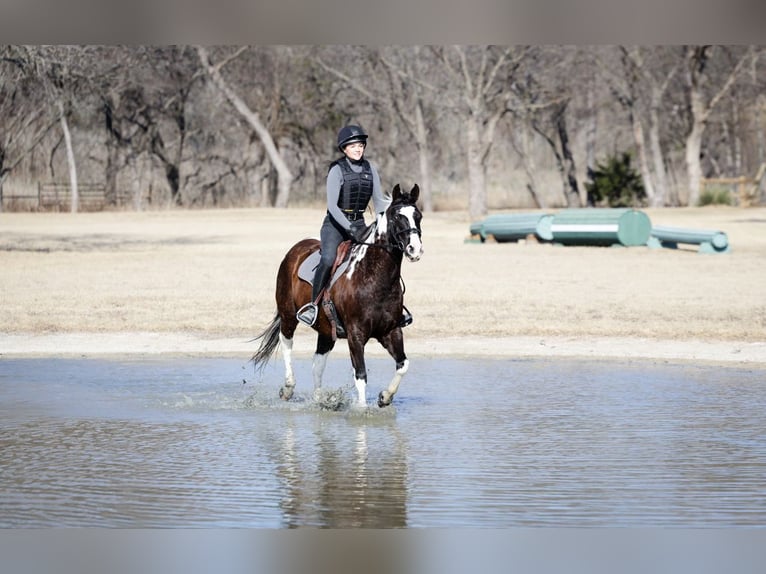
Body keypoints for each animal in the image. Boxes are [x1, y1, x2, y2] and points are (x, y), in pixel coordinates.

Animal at [251, 183, 423, 408]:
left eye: (418, 216)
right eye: (396, 217)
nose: (415, 249)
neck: (374, 277)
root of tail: (295, 250)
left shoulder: (391, 331)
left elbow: (403, 365)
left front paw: (385, 397)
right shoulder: (355, 334)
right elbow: (360, 375)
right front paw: (363, 410)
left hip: (326, 329)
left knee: (317, 363)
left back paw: (319, 400)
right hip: (288, 314)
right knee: (286, 342)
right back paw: (288, 387)